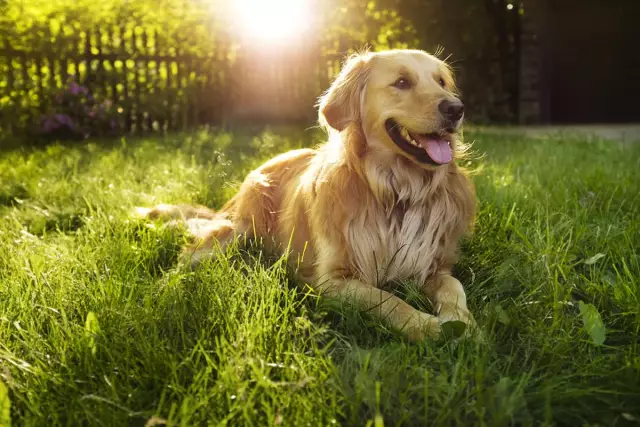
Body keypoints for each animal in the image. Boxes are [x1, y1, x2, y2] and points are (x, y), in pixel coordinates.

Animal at [138, 50, 476, 342]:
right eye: (402, 82)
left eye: (441, 82)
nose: (456, 109)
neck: (396, 192)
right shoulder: (332, 280)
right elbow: (387, 299)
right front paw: (426, 326)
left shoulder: (433, 265)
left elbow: (454, 286)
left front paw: (463, 322)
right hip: (236, 231)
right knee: (184, 259)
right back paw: (161, 293)